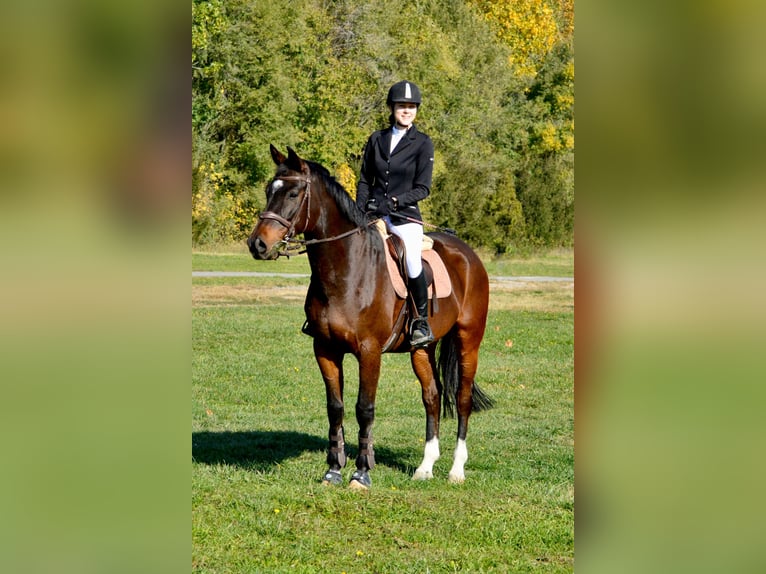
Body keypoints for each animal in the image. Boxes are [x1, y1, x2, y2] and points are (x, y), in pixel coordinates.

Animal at [247, 145, 493, 490]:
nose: (257, 244)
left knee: (462, 398)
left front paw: (361, 473)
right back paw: (425, 467)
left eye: (294, 193)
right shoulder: (325, 350)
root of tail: (468, 253)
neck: (347, 270)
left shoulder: (369, 352)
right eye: (269, 190)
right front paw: (333, 470)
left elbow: (364, 408)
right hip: (422, 348)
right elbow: (335, 408)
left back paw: (456, 470)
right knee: (431, 396)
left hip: (468, 340)